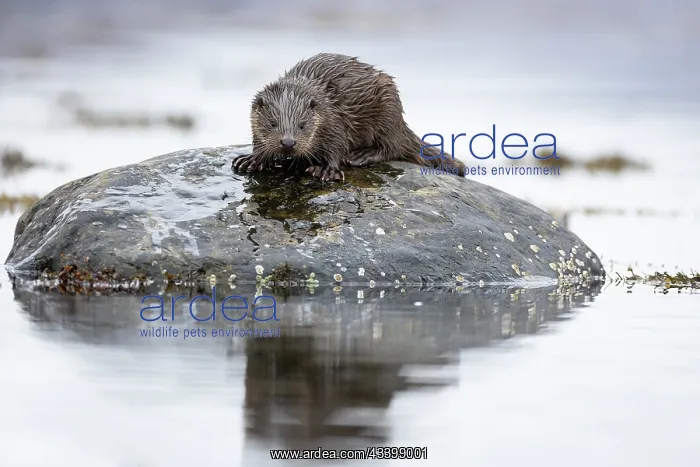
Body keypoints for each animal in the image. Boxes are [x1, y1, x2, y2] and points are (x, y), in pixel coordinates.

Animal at [232, 53, 466, 182]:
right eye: (272, 123)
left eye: (302, 125)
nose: (288, 143)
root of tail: (401, 124)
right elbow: (258, 143)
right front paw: (251, 159)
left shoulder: (334, 121)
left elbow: (337, 145)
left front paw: (327, 170)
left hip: (388, 107)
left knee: (392, 147)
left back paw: (360, 156)